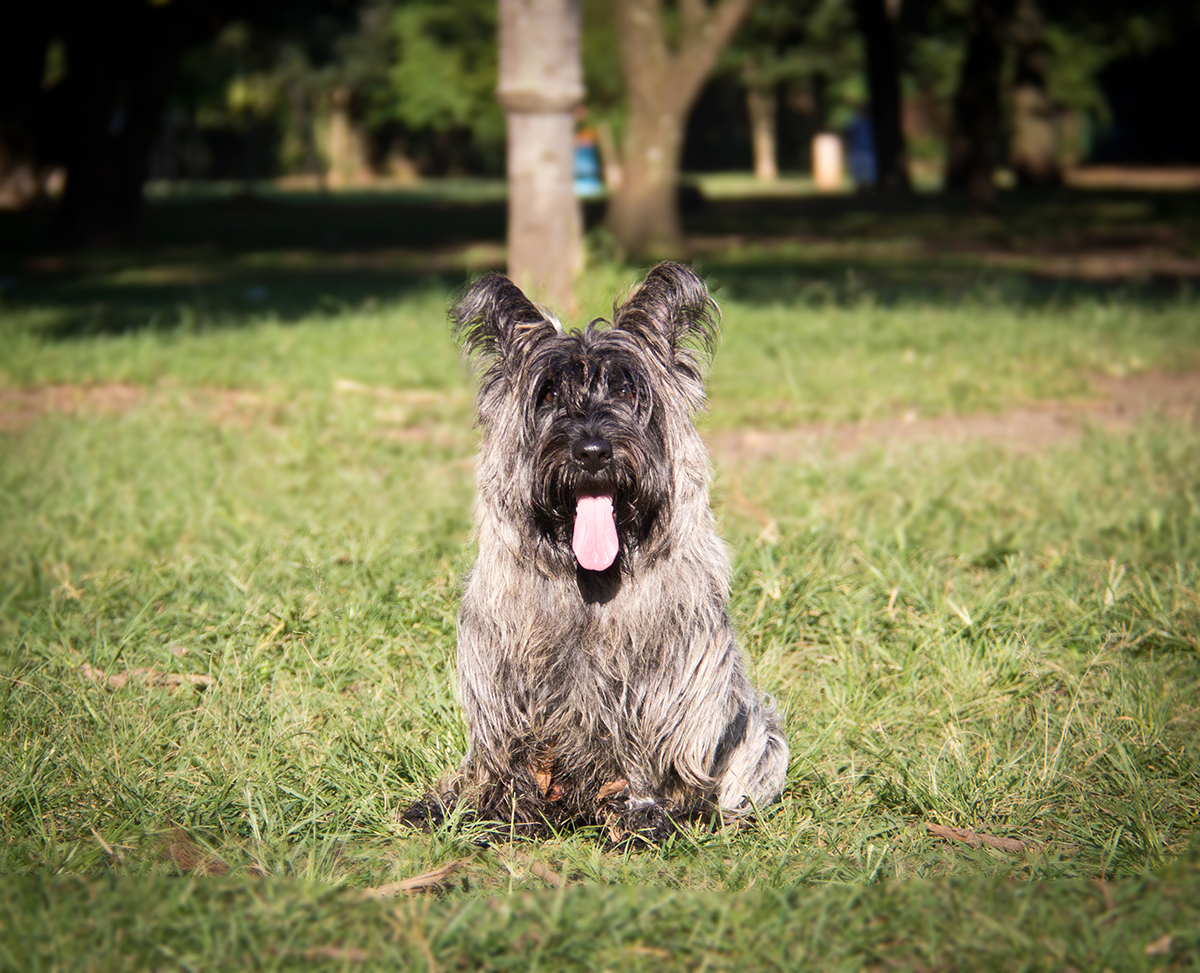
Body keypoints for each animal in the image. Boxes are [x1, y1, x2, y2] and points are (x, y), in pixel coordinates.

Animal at [420, 262, 787, 839]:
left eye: (628, 389)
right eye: (548, 393)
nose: (592, 451)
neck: (591, 580)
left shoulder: (667, 681)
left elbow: (645, 749)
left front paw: (639, 814)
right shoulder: (505, 682)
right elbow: (511, 753)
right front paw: (498, 810)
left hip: (759, 736)